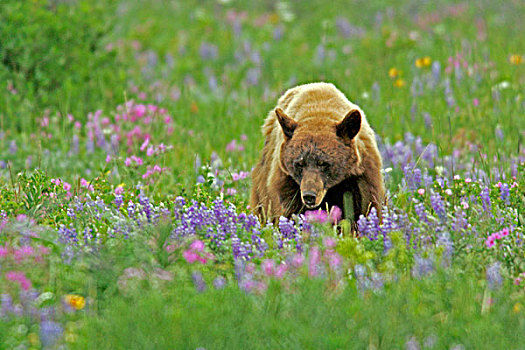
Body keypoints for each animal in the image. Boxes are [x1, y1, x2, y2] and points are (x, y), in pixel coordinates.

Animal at [250, 82, 384, 224]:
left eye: (323, 163)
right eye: (299, 163)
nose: (309, 196)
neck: (318, 113)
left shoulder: (361, 176)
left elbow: (363, 207)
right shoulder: (286, 181)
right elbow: (289, 209)